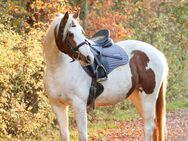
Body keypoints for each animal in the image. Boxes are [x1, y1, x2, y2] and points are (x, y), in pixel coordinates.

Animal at [43, 11, 168, 141]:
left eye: (81, 32)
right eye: (70, 34)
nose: (89, 58)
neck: (58, 69)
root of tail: (158, 53)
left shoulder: (79, 105)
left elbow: (82, 135)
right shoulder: (58, 106)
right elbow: (64, 135)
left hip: (148, 98)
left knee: (149, 127)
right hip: (137, 97)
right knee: (154, 126)